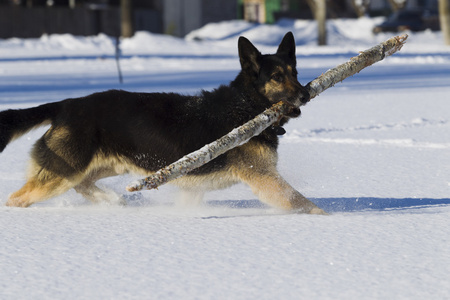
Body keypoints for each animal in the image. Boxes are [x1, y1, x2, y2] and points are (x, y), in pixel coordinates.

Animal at [0, 32, 324, 213]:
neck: (246, 106)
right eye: (277, 77)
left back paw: (110, 201)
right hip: (63, 172)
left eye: (295, 73)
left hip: (108, 165)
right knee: (18, 198)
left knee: (83, 184)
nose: (306, 93)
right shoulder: (266, 179)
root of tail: (66, 105)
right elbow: (303, 204)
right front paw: (330, 220)